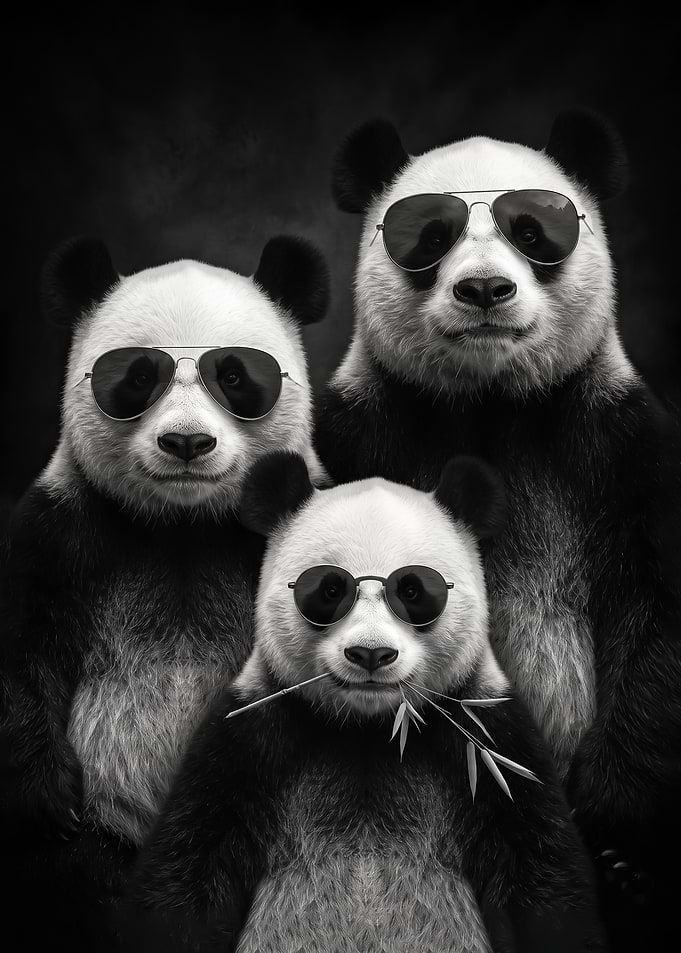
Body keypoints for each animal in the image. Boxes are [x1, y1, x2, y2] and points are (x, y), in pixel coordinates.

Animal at [0, 235, 329, 951]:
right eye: (136, 377)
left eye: (234, 377)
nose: (186, 443)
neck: (183, 525)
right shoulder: (67, 528)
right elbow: (20, 649)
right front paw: (48, 797)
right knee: (58, 877)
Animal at [122, 450, 605, 953]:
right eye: (329, 590)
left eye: (413, 591)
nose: (371, 653)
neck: (371, 730)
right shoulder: (248, 742)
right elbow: (186, 875)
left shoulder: (488, 742)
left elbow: (542, 879)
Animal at [315, 110, 681, 951]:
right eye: (429, 235)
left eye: (532, 231)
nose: (484, 287)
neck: (492, 401)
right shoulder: (360, 433)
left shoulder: (618, 446)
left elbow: (653, 618)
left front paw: (616, 842)